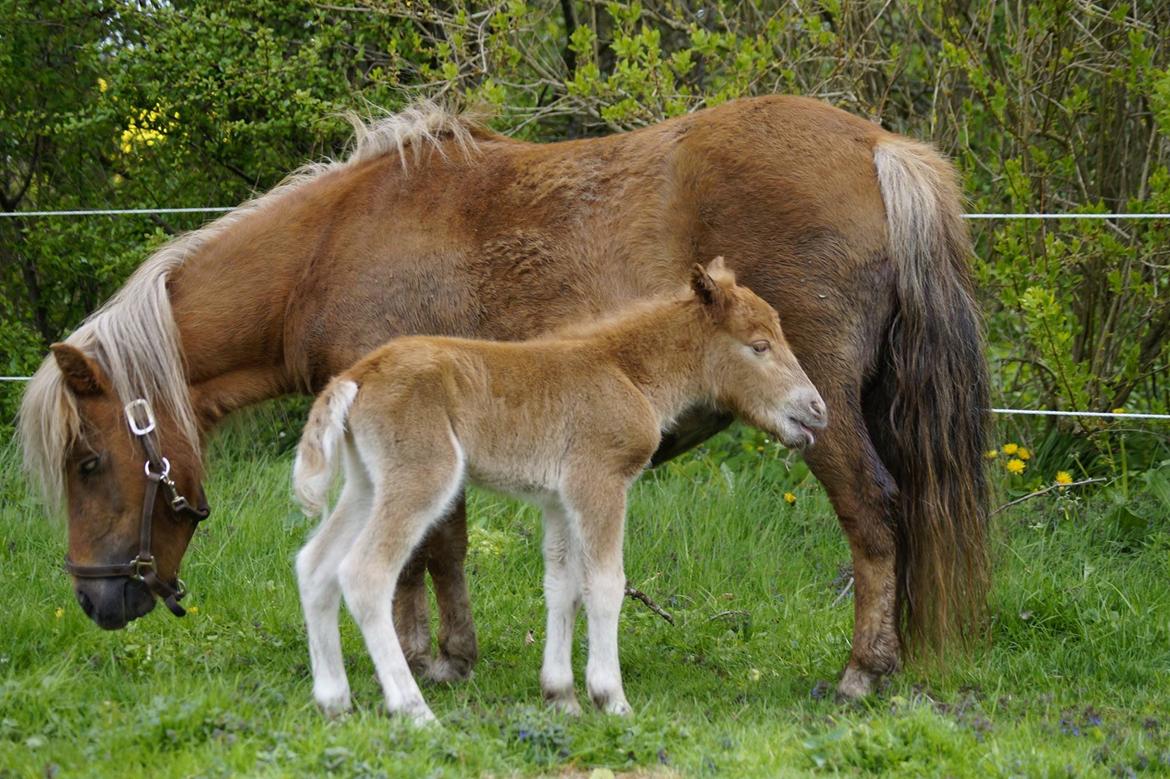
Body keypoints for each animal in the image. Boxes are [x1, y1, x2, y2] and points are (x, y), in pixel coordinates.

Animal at [292, 257, 828, 720]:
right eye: (759, 345)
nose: (817, 410)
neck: (628, 371)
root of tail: (359, 374)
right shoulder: (600, 480)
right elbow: (606, 583)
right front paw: (610, 698)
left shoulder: (558, 498)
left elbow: (562, 586)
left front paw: (561, 696)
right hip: (423, 474)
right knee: (365, 573)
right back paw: (413, 709)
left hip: (369, 482)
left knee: (316, 564)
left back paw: (333, 701)